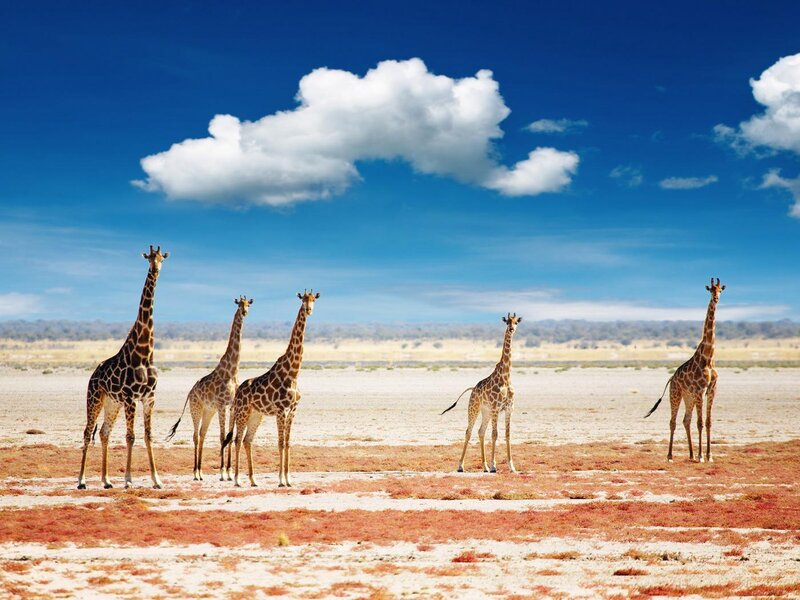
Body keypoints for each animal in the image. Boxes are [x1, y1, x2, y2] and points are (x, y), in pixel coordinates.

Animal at [77, 245, 168, 490]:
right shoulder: (130, 398)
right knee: (88, 432)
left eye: (161, 258)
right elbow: (131, 436)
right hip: (95, 398)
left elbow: (147, 436)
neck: (144, 353)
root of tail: (93, 375)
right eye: (148, 258)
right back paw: (81, 481)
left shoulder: (149, 398)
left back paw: (107, 480)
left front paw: (157, 480)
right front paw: (128, 479)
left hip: (112, 403)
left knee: (104, 433)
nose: (155, 270)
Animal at [166, 296, 253, 481]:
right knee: (195, 435)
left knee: (202, 434)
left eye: (248, 304)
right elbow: (222, 436)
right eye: (239, 305)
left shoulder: (232, 406)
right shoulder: (221, 405)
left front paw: (228, 471)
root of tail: (190, 392)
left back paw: (200, 472)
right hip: (196, 408)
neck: (232, 371)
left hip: (208, 411)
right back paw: (195, 472)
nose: (245, 312)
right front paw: (222, 472)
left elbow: (229, 436)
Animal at [223, 290, 320, 487]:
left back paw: (253, 480)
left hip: (256, 415)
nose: (309, 310)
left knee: (247, 440)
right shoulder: (281, 411)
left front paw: (289, 479)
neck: (293, 372)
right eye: (303, 300)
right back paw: (237, 480)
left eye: (314, 299)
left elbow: (287, 443)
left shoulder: (292, 411)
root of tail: (237, 394)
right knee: (237, 440)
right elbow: (280, 443)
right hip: (243, 412)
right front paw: (281, 480)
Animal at [442, 313, 521, 473]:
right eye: (507, 322)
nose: (512, 329)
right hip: (474, 408)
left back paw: (484, 467)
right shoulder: (496, 408)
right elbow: (495, 434)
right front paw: (494, 466)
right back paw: (461, 466)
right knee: (469, 431)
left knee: (480, 431)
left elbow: (508, 435)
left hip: (486, 411)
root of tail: (473, 389)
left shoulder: (509, 409)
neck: (506, 377)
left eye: (516, 322)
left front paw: (512, 467)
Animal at [645, 278, 725, 463]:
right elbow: (700, 423)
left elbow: (708, 422)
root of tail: (671, 378)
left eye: (720, 290)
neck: (708, 357)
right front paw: (701, 456)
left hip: (688, 397)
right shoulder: (700, 390)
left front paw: (709, 456)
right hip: (676, 394)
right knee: (673, 422)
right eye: (710, 290)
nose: (716, 299)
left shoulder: (712, 390)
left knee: (685, 420)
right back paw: (670, 456)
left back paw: (690, 454)